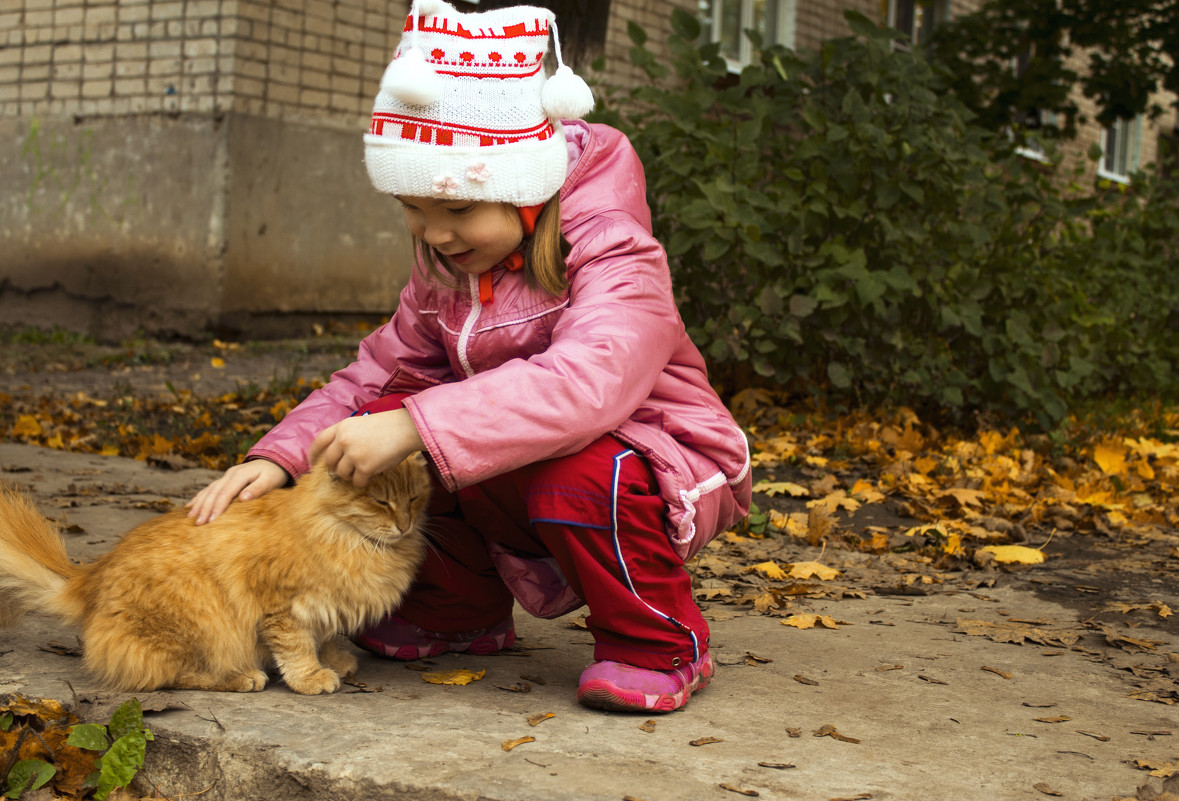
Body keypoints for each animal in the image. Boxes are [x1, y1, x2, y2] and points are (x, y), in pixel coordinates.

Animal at [0, 457, 431, 693]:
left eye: (414, 498)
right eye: (381, 502)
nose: (405, 525)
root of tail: (92, 575)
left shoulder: (321, 607)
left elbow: (323, 638)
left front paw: (335, 661)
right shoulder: (282, 608)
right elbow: (297, 648)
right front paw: (311, 677)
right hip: (198, 624)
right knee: (169, 676)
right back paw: (243, 677)